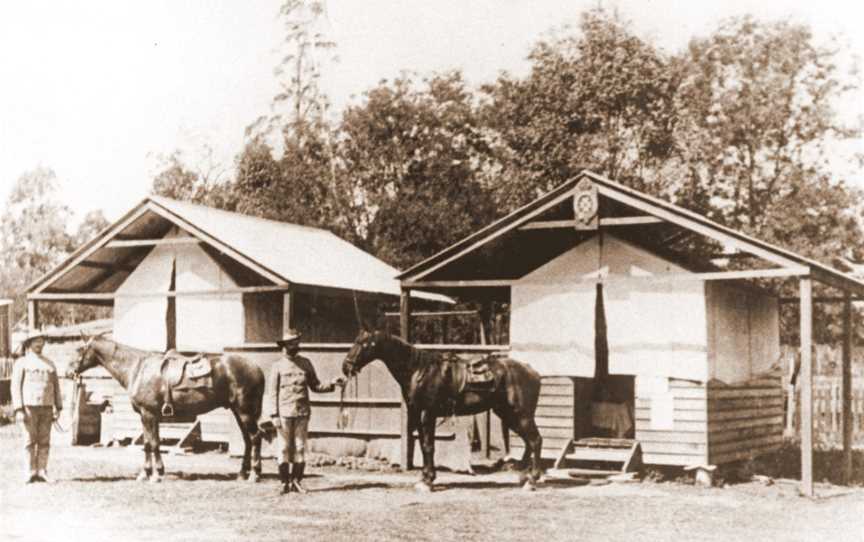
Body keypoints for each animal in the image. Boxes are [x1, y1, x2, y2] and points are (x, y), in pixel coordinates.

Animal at [71, 336, 264, 484]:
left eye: (79, 349)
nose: (68, 371)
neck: (138, 369)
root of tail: (257, 369)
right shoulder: (148, 416)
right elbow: (148, 443)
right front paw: (147, 473)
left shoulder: (149, 414)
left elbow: (153, 443)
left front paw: (155, 475)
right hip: (237, 411)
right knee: (247, 440)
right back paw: (242, 474)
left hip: (245, 411)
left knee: (255, 437)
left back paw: (254, 475)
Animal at [342, 332, 540, 492]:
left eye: (364, 344)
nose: (346, 366)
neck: (418, 370)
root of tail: (532, 371)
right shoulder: (417, 415)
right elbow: (424, 446)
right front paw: (425, 478)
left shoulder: (427, 414)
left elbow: (429, 446)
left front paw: (428, 482)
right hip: (509, 415)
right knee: (529, 442)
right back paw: (523, 477)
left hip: (521, 415)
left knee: (535, 441)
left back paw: (532, 480)